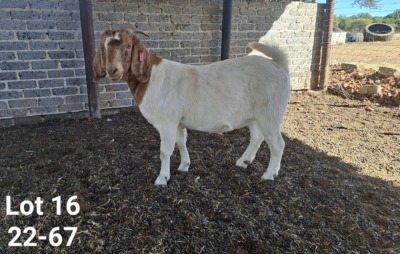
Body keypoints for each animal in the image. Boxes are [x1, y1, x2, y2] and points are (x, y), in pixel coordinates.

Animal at [95, 29, 292, 186]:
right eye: (104, 47)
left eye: (129, 46)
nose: (112, 70)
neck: (151, 77)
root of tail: (278, 65)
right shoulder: (178, 123)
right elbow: (181, 142)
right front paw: (184, 166)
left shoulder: (167, 122)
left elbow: (165, 151)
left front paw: (162, 179)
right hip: (255, 116)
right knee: (257, 137)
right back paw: (243, 162)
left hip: (270, 113)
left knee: (277, 144)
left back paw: (269, 174)